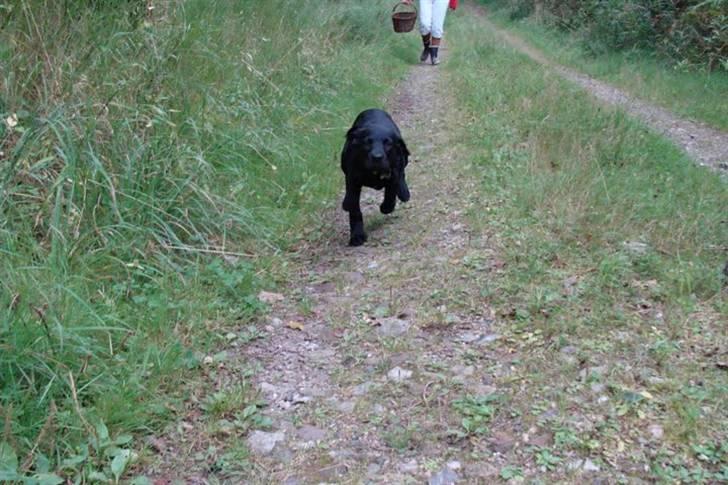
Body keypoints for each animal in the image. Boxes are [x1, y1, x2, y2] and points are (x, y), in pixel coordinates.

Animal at [340, 109, 410, 246]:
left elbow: (391, 191)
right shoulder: (352, 178)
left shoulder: (393, 173)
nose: (377, 157)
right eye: (367, 142)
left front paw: (386, 207)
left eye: (388, 143)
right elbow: (353, 206)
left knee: (402, 176)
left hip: (403, 158)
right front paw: (357, 235)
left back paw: (404, 193)